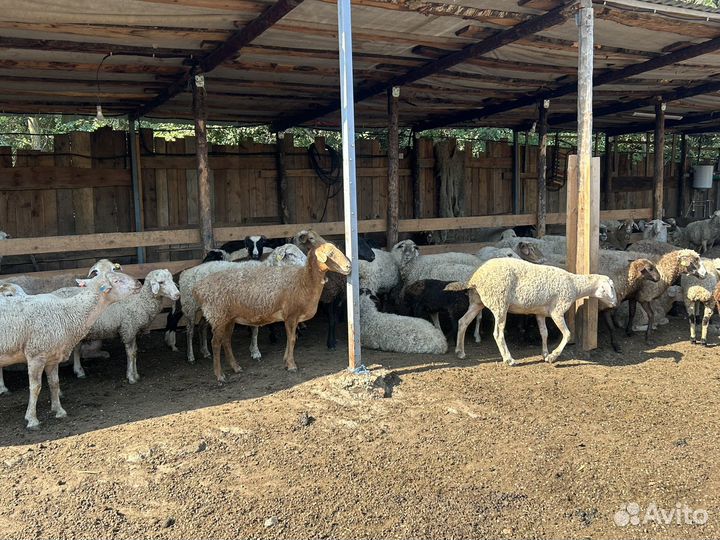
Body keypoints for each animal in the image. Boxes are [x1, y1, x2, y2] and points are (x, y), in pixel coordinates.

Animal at [0, 271, 141, 429]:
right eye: (116, 281)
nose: (138, 283)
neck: (67, 313)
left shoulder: (52, 357)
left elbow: (54, 383)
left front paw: (59, 410)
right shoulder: (36, 356)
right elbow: (35, 387)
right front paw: (32, 419)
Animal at [193, 241, 351, 381]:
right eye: (330, 254)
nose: (349, 266)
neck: (303, 281)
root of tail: (199, 288)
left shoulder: (290, 317)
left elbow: (290, 339)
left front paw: (286, 361)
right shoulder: (291, 315)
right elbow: (292, 339)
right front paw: (291, 365)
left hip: (229, 318)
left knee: (226, 341)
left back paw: (236, 367)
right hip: (218, 316)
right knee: (215, 343)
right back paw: (219, 375)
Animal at [447, 258, 617, 366]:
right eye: (611, 287)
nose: (615, 304)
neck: (575, 286)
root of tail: (475, 279)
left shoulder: (540, 312)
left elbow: (544, 333)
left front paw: (545, 353)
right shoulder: (557, 311)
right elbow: (567, 334)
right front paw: (553, 357)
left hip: (477, 301)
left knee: (463, 321)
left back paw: (460, 352)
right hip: (500, 302)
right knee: (498, 333)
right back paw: (509, 359)